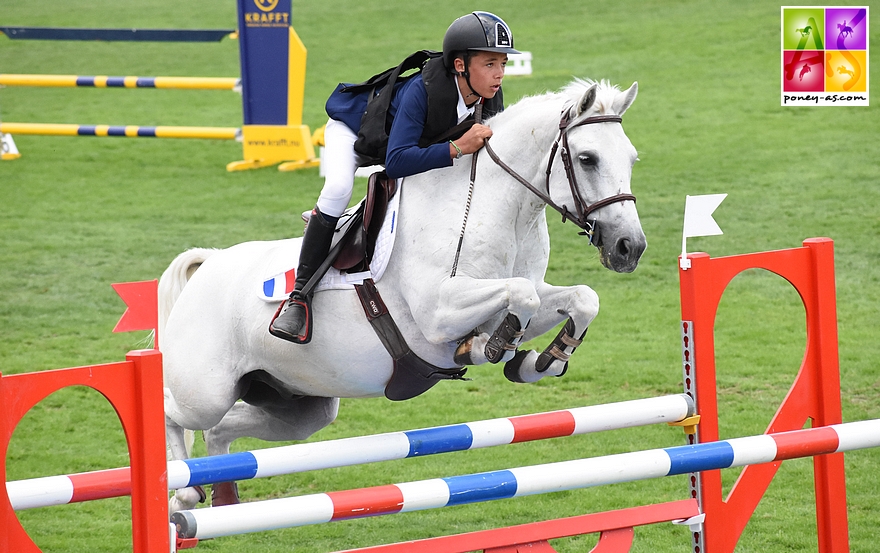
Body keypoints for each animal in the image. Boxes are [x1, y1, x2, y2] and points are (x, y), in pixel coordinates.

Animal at [163, 77, 648, 508]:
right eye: (587, 158)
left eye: (632, 158)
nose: (630, 247)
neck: (496, 208)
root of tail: (208, 266)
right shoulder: (439, 312)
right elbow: (521, 294)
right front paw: (490, 347)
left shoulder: (527, 297)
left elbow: (580, 298)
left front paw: (540, 361)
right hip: (204, 391)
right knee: (175, 415)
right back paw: (183, 495)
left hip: (300, 406)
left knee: (221, 430)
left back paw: (223, 497)